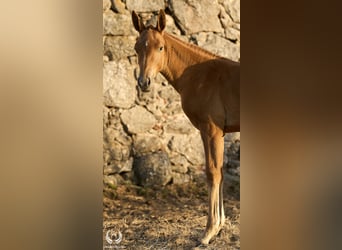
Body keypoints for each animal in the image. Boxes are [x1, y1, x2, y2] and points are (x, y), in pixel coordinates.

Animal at [132, 9, 240, 244]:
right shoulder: (216, 133)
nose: (144, 83)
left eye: (160, 47)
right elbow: (220, 171)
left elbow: (212, 173)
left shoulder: (211, 130)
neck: (200, 76)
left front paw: (208, 231)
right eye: (136, 47)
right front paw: (219, 226)